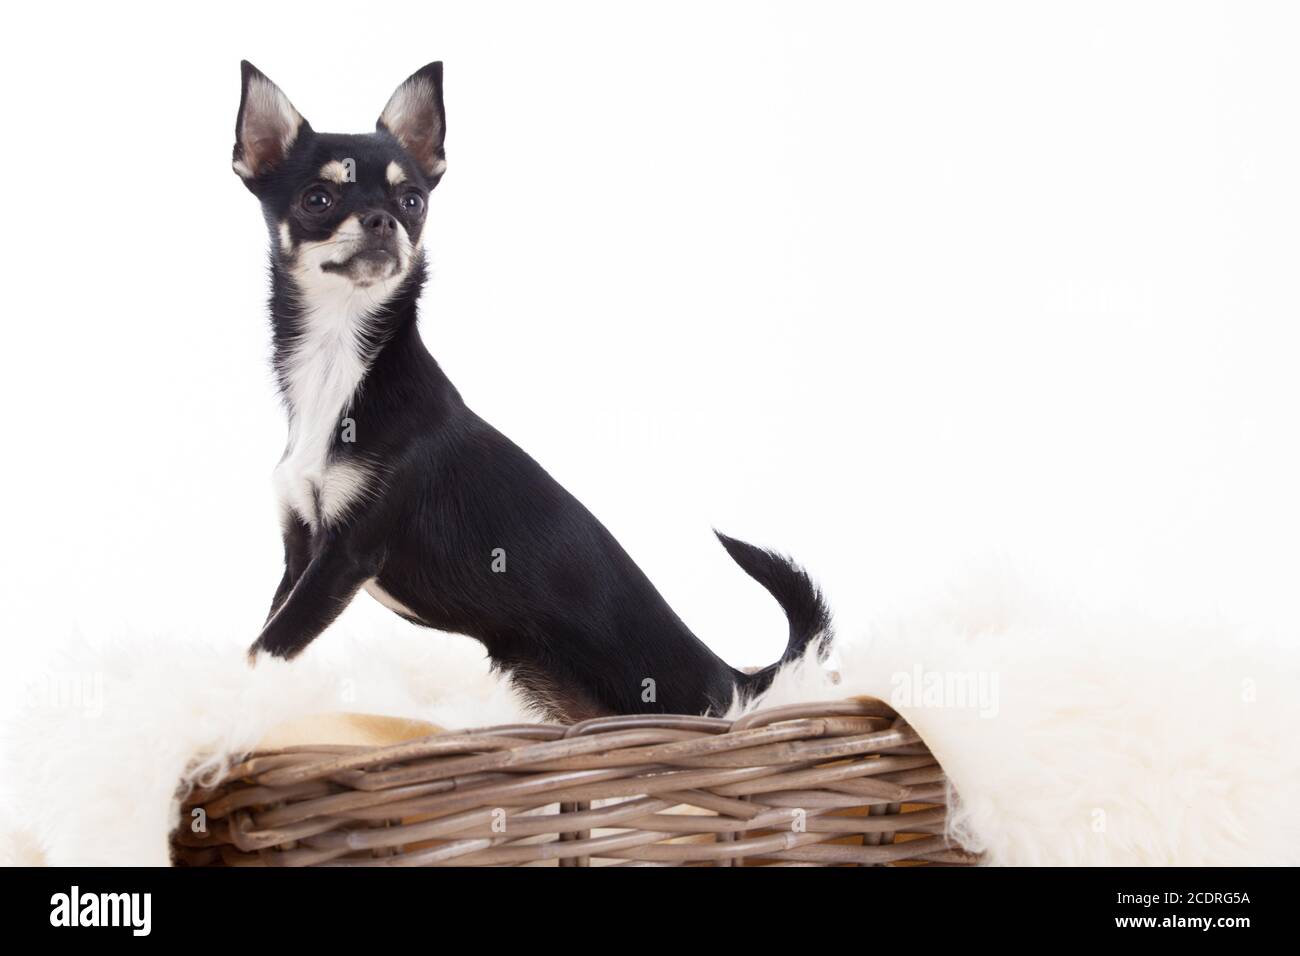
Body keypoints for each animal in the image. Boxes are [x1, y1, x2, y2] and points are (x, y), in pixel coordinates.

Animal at [236, 61, 832, 717]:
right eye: (317, 199)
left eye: (412, 201)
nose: (383, 220)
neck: (336, 363)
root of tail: (730, 677)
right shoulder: (302, 553)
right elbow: (266, 634)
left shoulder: (345, 555)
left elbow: (264, 647)